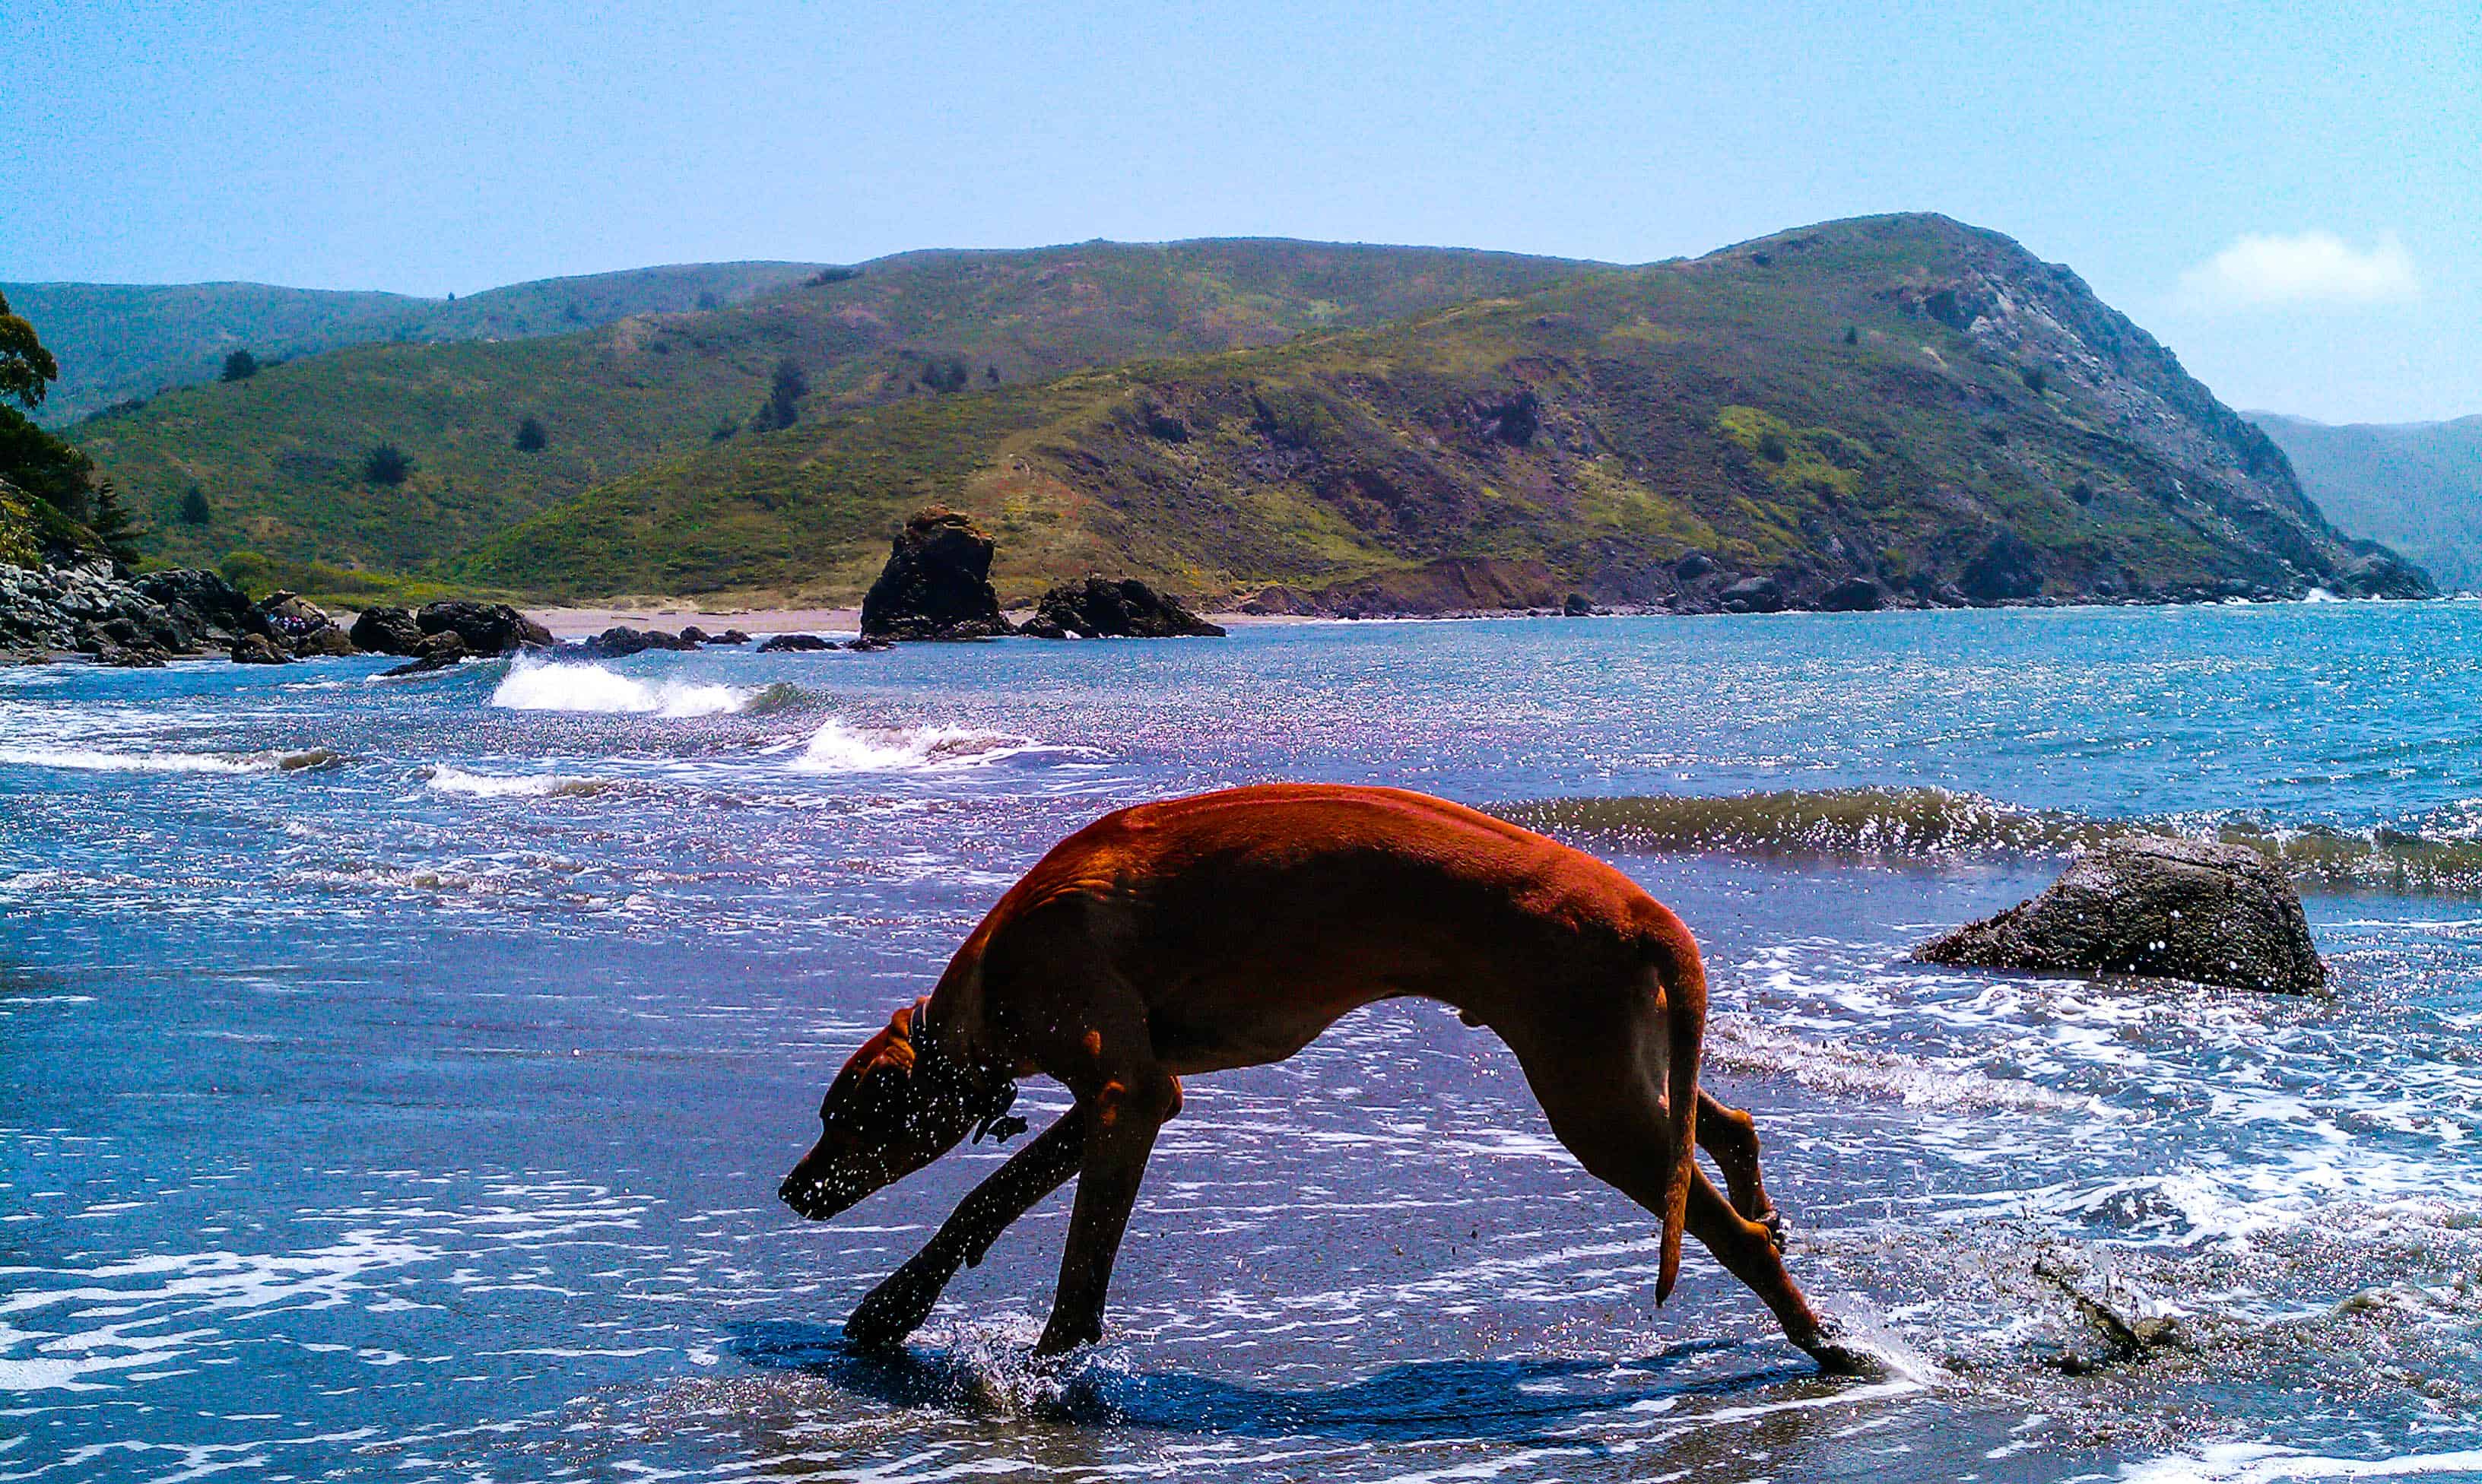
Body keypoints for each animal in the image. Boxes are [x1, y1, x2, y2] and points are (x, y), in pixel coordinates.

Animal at [774, 784, 1866, 1379]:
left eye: (842, 1118)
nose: (790, 1191)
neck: (993, 978)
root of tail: (1643, 905)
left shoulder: (1132, 1093)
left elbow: (1081, 1258)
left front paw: (1048, 1364)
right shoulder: (1123, 1095)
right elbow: (987, 1196)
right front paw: (895, 1306)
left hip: (1592, 1097)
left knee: (1730, 1230)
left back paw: (1825, 1340)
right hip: (1620, 1069)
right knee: (1726, 1126)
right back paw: (1771, 1210)